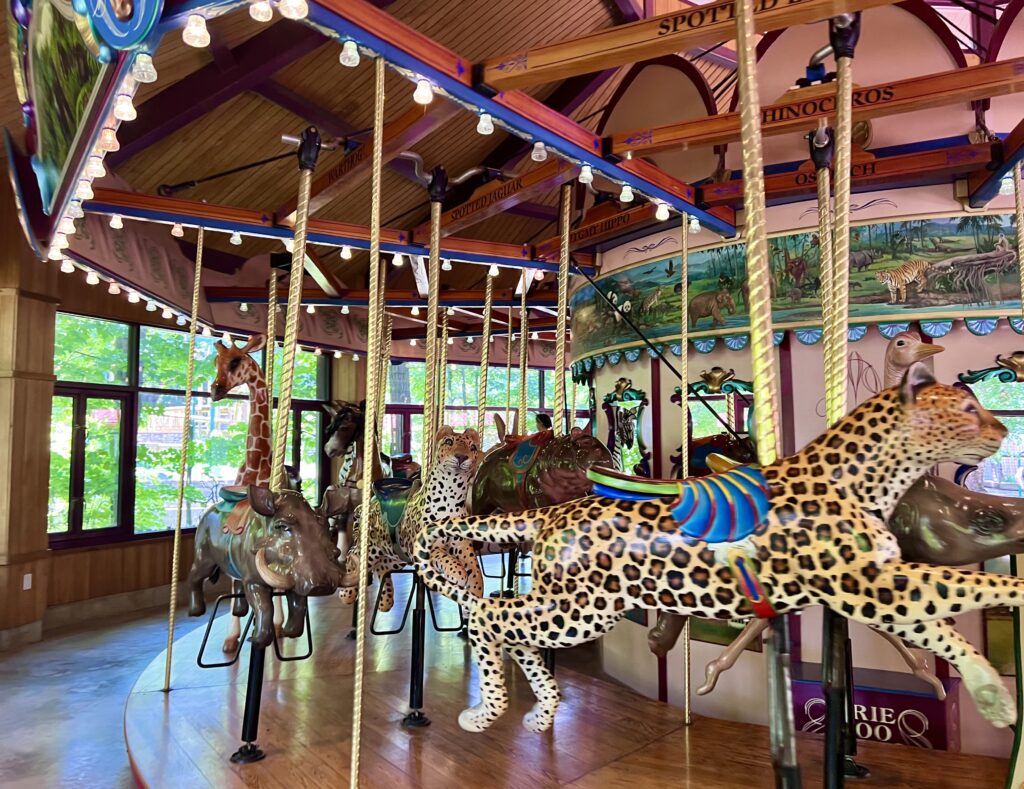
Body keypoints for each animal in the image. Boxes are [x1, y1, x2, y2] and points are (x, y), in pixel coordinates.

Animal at [188, 487, 356, 646]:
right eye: (281, 526)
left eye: (326, 526)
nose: (322, 585)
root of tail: (206, 513)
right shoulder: (253, 580)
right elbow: (265, 606)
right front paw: (257, 640)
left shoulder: (297, 577)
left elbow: (299, 605)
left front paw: (290, 632)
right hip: (204, 557)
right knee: (195, 577)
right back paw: (196, 611)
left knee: (236, 580)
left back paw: (239, 611)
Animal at [415, 364, 1015, 732]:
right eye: (966, 408)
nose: (1002, 432)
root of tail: (557, 512)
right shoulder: (868, 585)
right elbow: (967, 589)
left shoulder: (875, 588)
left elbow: (937, 623)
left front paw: (988, 692)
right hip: (580, 604)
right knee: (490, 611)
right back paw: (488, 710)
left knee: (502, 611)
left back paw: (539, 710)